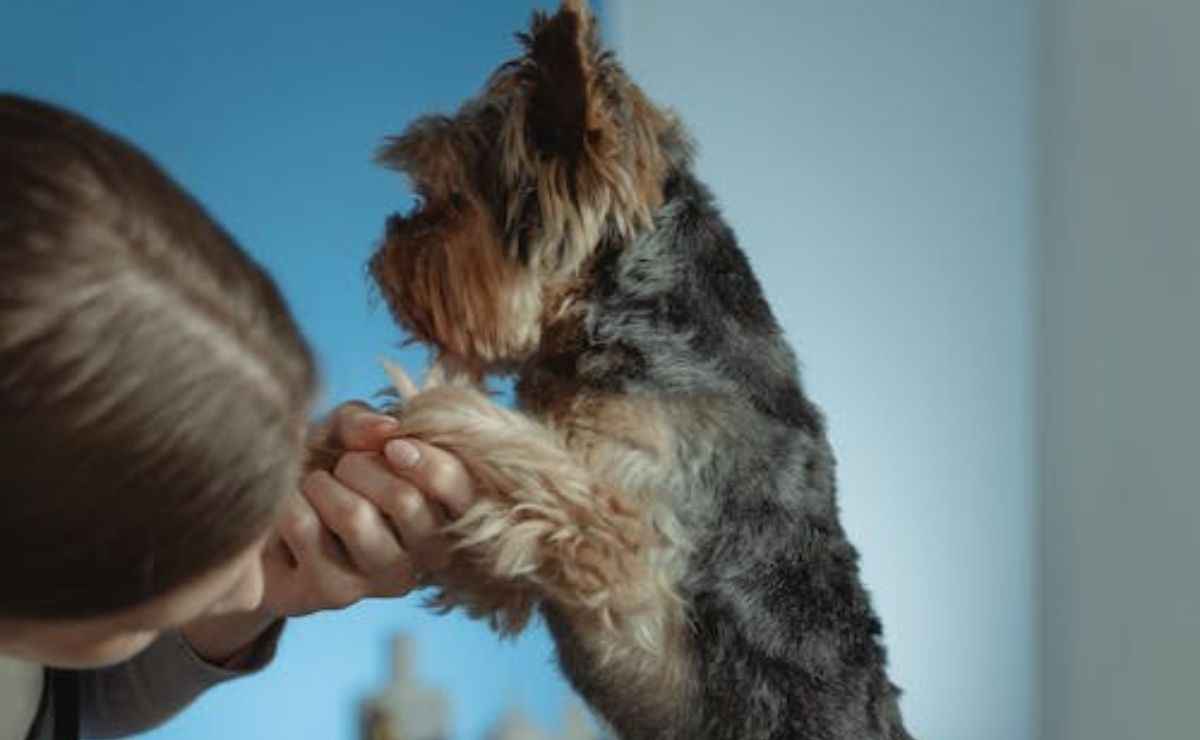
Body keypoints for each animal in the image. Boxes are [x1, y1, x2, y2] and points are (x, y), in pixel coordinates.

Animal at [360, 2, 912, 734]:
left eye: (449, 201)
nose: (382, 252)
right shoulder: (522, 565)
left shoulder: (626, 557)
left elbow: (545, 465)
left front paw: (433, 400)